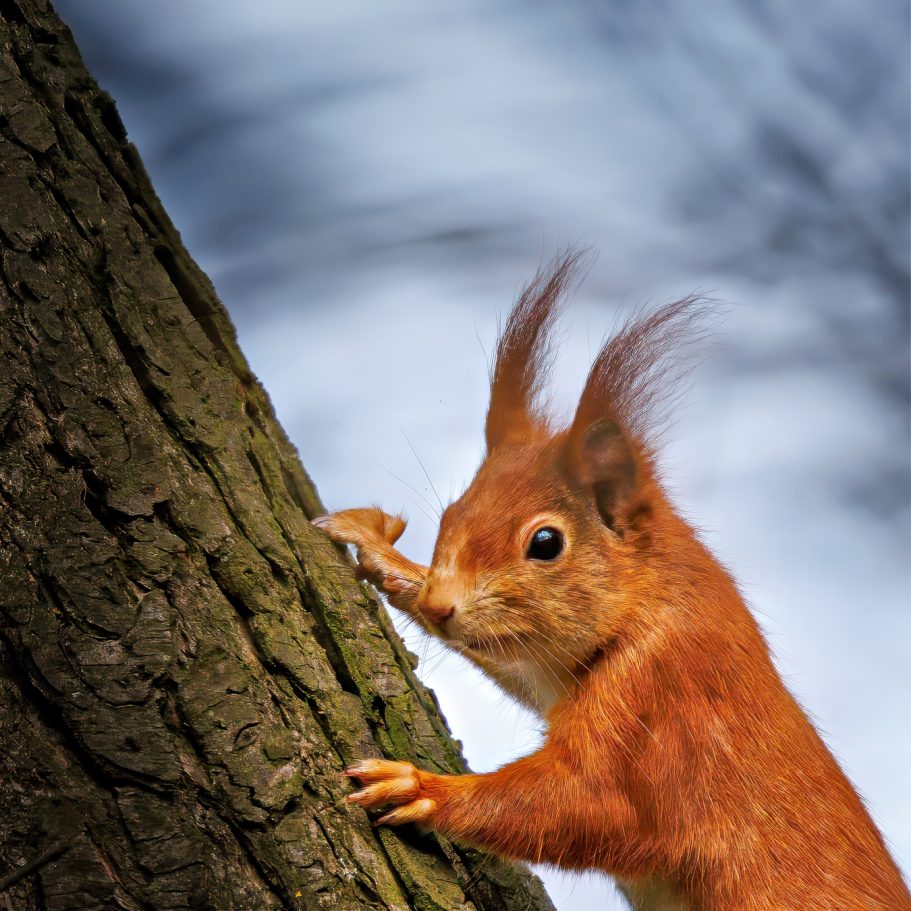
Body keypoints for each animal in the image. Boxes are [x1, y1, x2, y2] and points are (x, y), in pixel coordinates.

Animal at [313, 253, 909, 911]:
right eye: (450, 514)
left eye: (546, 543)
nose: (442, 606)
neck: (650, 596)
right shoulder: (554, 670)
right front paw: (386, 560)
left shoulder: (656, 696)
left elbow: (588, 810)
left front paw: (420, 789)